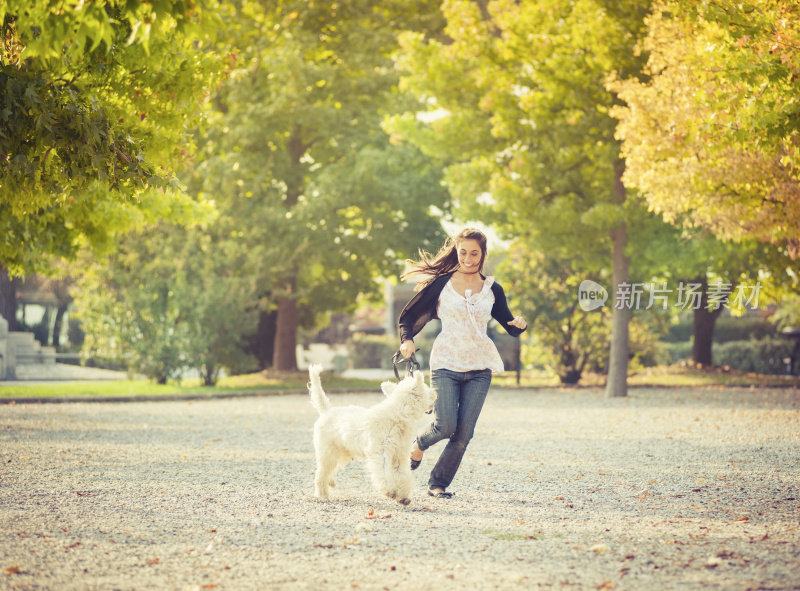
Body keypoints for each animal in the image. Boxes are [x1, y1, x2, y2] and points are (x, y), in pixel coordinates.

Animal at [310, 366, 438, 504]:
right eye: (426, 388)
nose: (435, 393)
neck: (398, 414)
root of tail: (326, 410)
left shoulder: (399, 455)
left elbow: (401, 474)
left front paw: (403, 497)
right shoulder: (381, 453)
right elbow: (384, 474)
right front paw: (390, 492)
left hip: (341, 451)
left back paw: (330, 482)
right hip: (327, 452)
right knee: (321, 474)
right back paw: (322, 495)